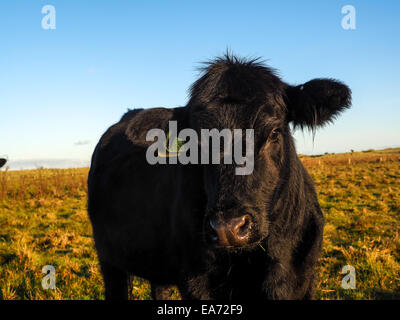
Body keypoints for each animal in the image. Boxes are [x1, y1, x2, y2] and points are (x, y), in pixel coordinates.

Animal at [87, 55, 350, 300]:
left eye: (274, 132)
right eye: (192, 141)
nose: (228, 227)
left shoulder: (302, 280)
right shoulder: (196, 283)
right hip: (110, 260)